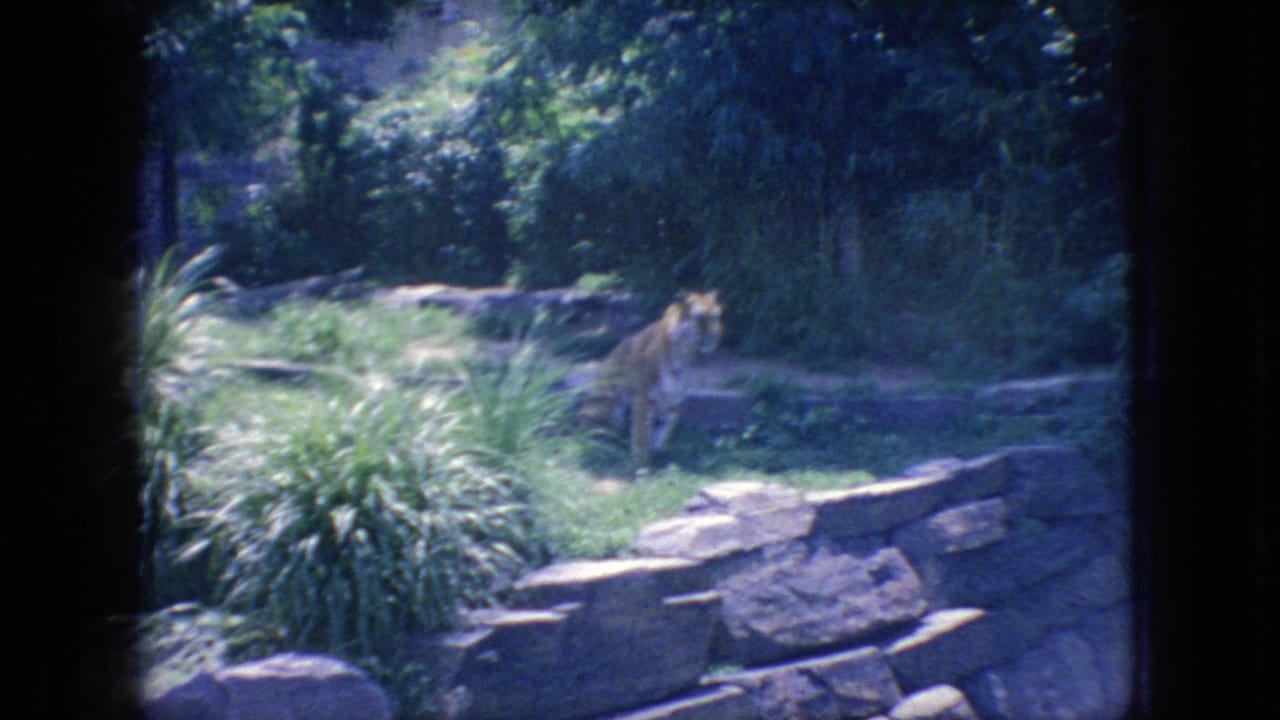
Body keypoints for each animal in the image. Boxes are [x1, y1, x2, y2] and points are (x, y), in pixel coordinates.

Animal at [579, 290, 724, 475]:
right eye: (700, 317)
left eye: (716, 317)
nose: (716, 336)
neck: (685, 352)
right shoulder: (644, 397)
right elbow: (642, 436)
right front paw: (642, 467)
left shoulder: (672, 401)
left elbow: (663, 431)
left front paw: (658, 457)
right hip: (605, 406)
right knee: (592, 433)